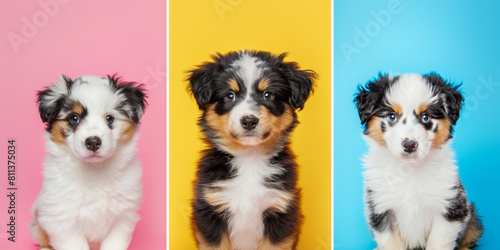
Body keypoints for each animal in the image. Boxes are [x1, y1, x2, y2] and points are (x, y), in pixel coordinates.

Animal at [29, 74, 146, 250]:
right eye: (74, 118)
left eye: (110, 118)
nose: (93, 142)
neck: (94, 170)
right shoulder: (60, 219)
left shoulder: (123, 217)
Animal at [188, 49, 316, 249]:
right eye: (230, 96)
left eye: (268, 95)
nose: (249, 121)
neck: (249, 158)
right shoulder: (210, 210)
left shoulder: (280, 211)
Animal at [354, 72, 482, 250]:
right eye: (392, 117)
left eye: (426, 117)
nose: (409, 145)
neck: (409, 169)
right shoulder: (381, 209)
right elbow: (390, 243)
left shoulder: (449, 207)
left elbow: (438, 243)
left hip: (473, 221)